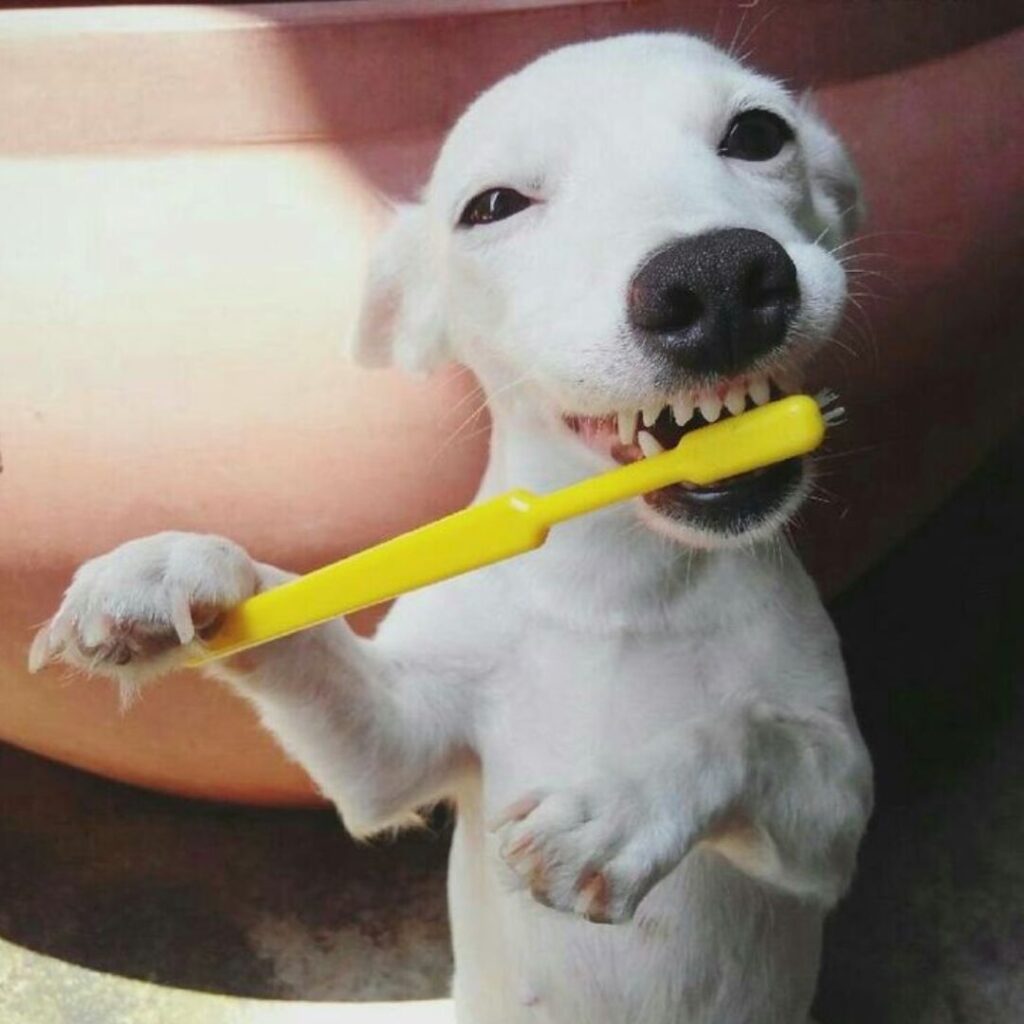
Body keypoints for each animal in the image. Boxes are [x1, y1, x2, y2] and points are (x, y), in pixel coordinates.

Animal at [32, 34, 872, 1024]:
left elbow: (743, 730)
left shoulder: (836, 814)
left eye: (758, 134)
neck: (622, 585)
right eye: (494, 207)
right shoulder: (397, 748)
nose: (717, 278)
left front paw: (619, 806)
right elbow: (300, 629)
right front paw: (180, 570)